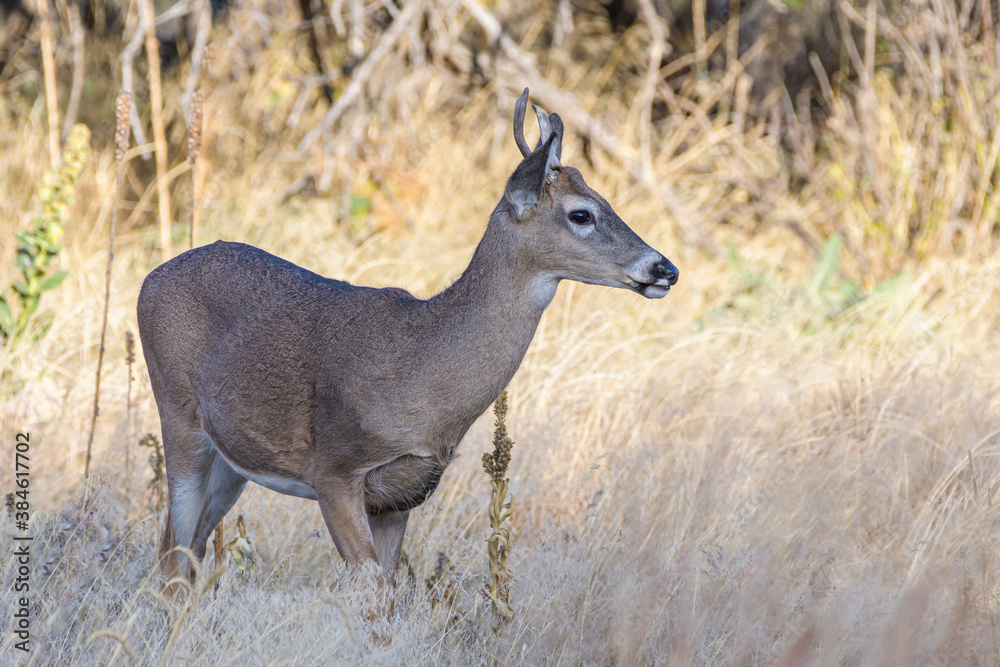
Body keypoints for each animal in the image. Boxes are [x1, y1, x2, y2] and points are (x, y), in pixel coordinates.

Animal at [137, 88, 678, 596]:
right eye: (581, 214)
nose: (665, 268)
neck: (420, 375)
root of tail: (149, 279)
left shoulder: (400, 497)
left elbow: (390, 596)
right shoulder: (334, 469)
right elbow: (373, 595)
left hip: (234, 458)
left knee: (185, 551)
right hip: (177, 415)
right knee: (170, 559)